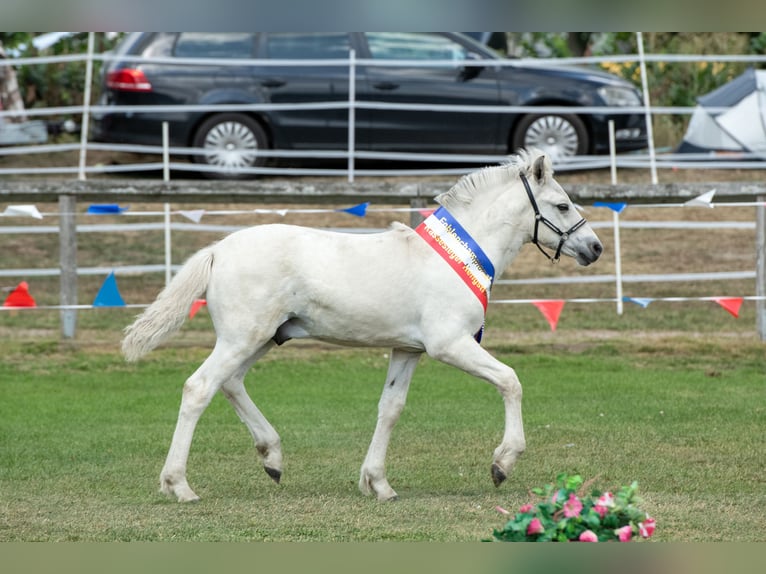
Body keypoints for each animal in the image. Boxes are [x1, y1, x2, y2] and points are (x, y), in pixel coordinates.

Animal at [121, 148, 603, 502]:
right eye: (562, 205)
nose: (594, 247)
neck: (457, 256)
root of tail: (219, 249)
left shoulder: (408, 350)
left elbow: (390, 409)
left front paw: (378, 484)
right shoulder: (450, 344)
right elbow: (510, 380)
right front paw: (502, 464)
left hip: (259, 339)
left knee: (231, 384)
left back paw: (272, 458)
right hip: (243, 338)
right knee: (199, 388)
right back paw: (180, 486)